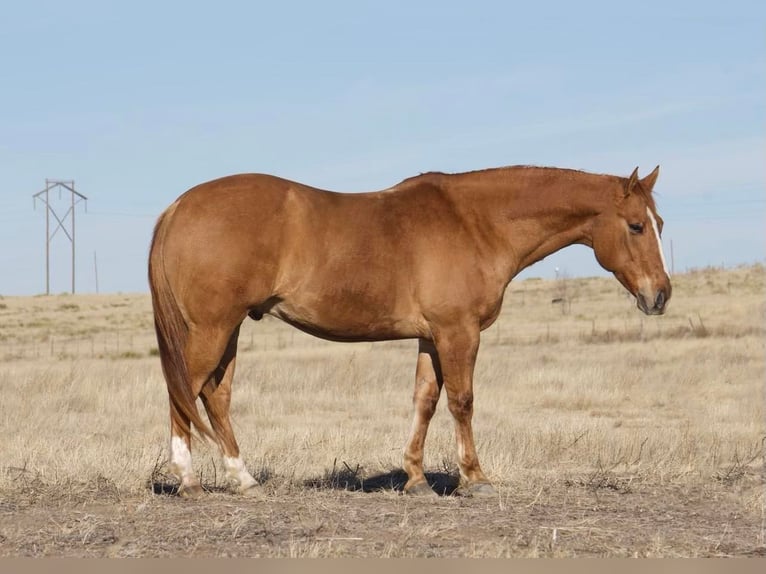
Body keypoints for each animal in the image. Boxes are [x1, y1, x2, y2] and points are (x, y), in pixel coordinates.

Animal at [146, 164, 672, 498]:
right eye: (636, 226)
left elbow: (425, 400)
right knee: (183, 392)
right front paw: (475, 478)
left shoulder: (431, 336)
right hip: (212, 328)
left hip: (230, 330)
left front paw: (416, 480)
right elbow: (461, 401)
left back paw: (244, 479)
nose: (661, 295)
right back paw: (190, 482)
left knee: (215, 396)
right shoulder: (459, 333)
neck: (474, 223)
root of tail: (177, 206)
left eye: (660, 223)